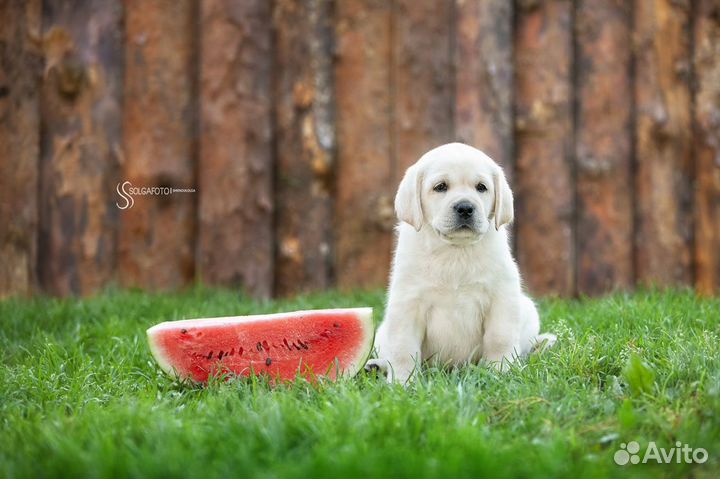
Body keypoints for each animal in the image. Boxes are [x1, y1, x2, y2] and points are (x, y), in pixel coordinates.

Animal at [366, 142, 556, 382]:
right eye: (440, 187)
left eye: (481, 187)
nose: (465, 207)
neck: (455, 252)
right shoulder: (407, 303)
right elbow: (403, 347)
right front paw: (402, 381)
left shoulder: (502, 297)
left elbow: (499, 338)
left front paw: (500, 372)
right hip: (383, 330)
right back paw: (376, 365)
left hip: (528, 310)